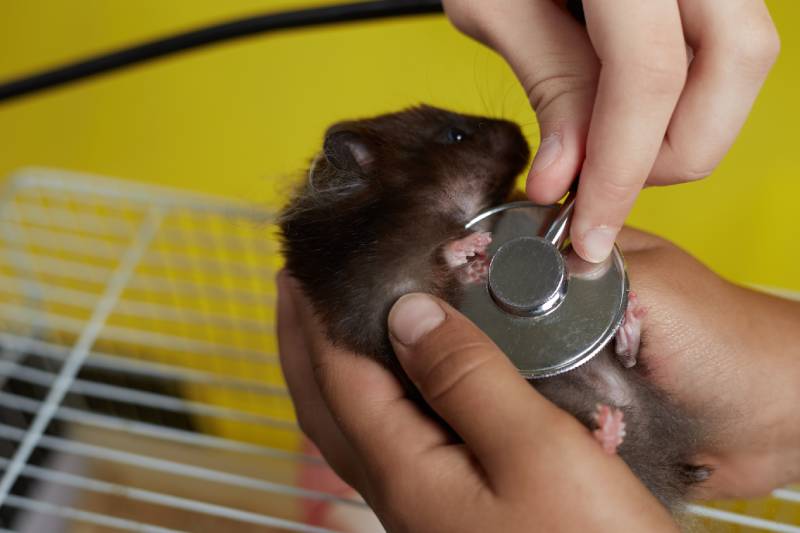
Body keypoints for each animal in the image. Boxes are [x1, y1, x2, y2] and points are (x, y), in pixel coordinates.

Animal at [279, 105, 709, 512]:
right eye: (455, 135)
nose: (521, 132)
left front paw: (475, 248)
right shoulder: (376, 294)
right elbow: (430, 266)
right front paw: (472, 250)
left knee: (629, 361)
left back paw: (628, 331)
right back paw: (608, 428)